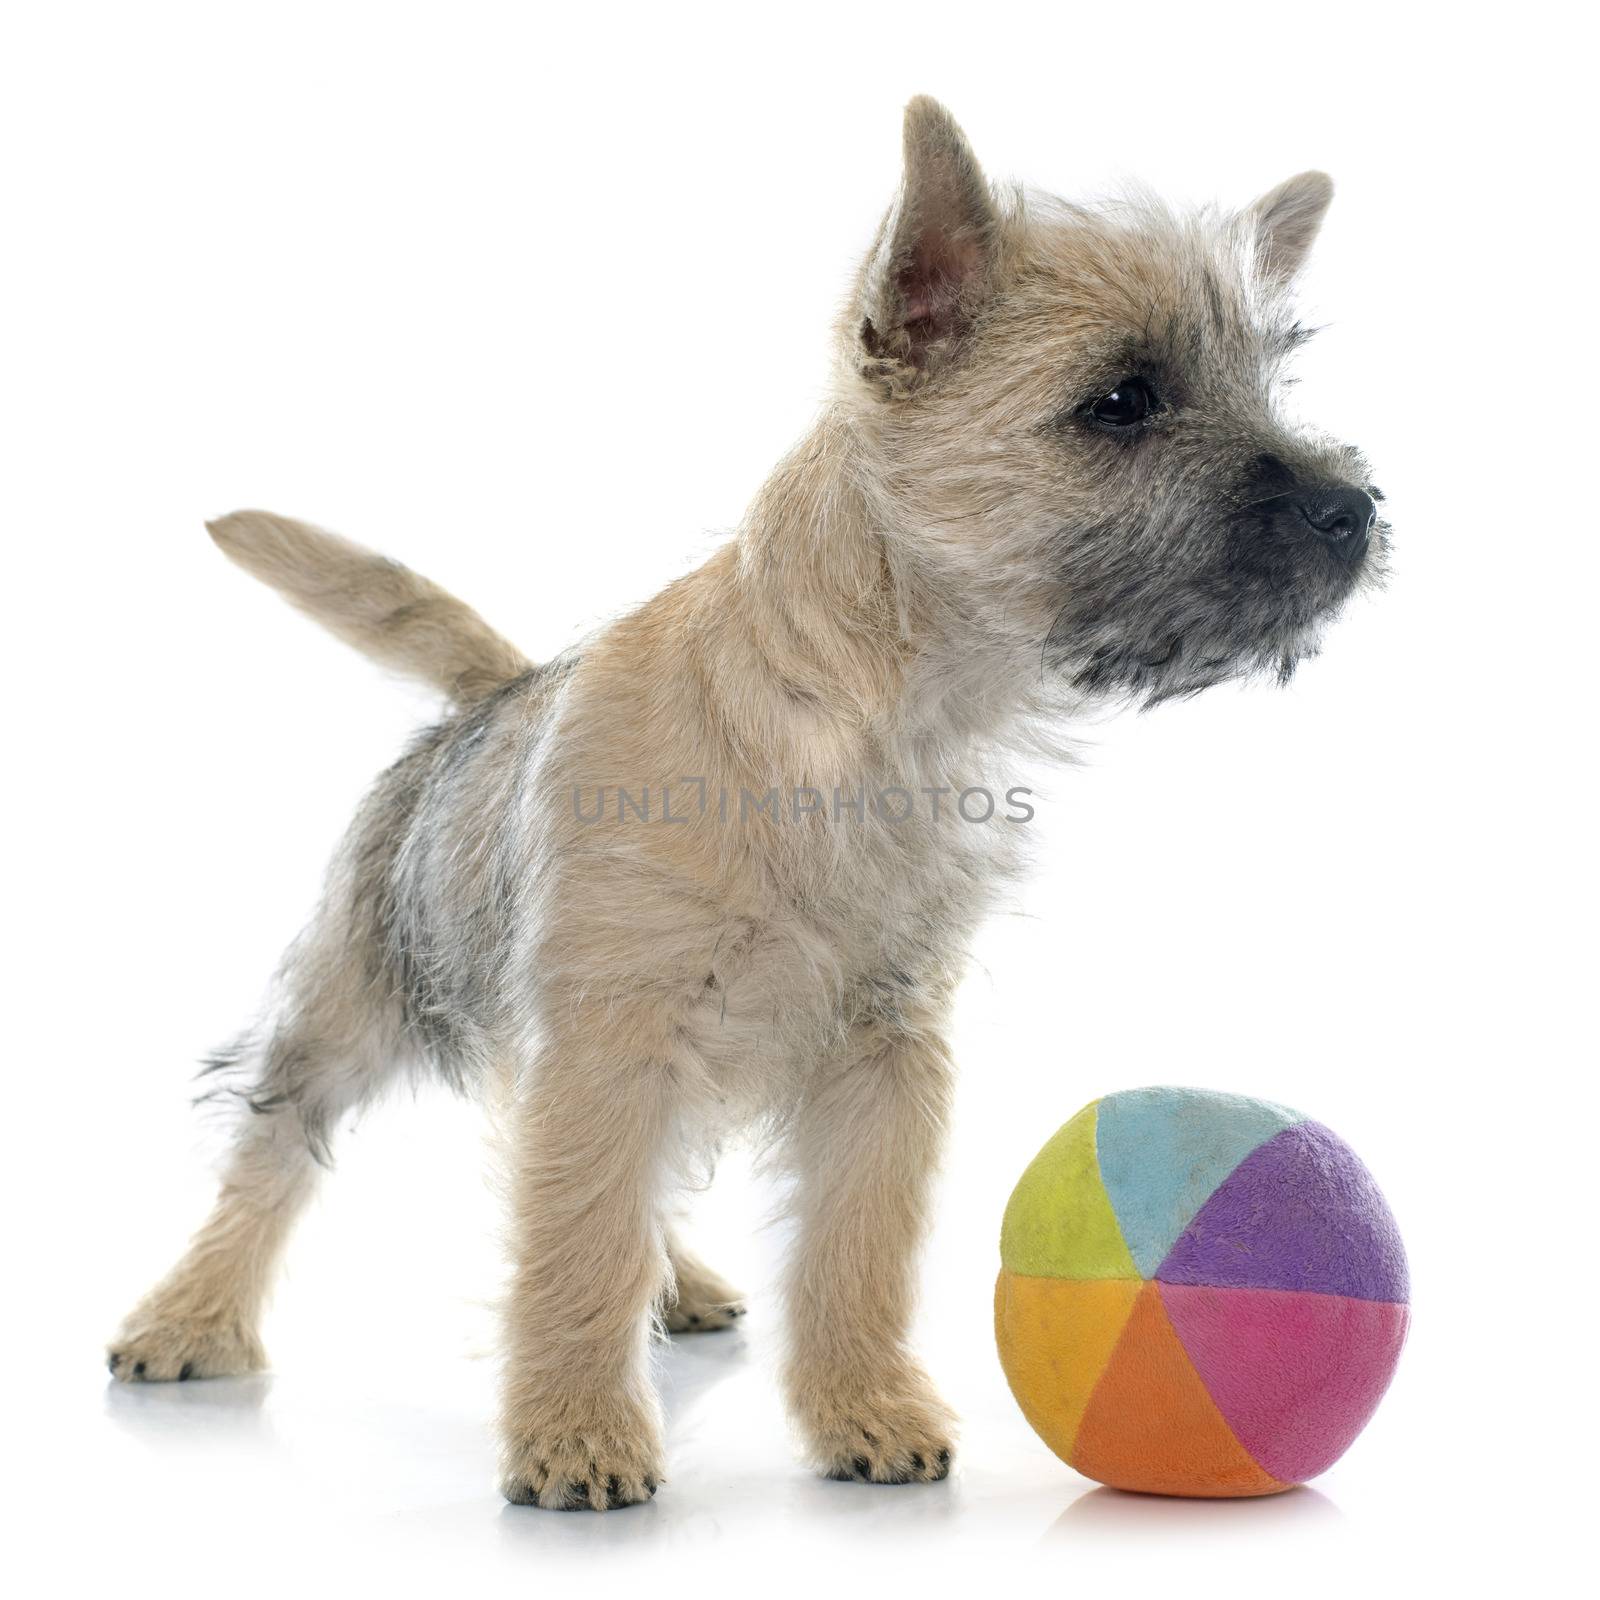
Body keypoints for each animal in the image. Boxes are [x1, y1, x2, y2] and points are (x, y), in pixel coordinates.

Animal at [112, 93, 1388, 1504]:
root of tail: (498, 689)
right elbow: (575, 1243)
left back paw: (681, 1285)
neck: (861, 721)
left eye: (1268, 381)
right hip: (357, 997)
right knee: (276, 1153)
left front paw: (864, 1407)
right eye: (1122, 400)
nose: (1352, 510)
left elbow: (852, 1251)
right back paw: (190, 1314)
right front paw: (577, 1435)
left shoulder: (882, 1056)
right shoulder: (611, 1035)